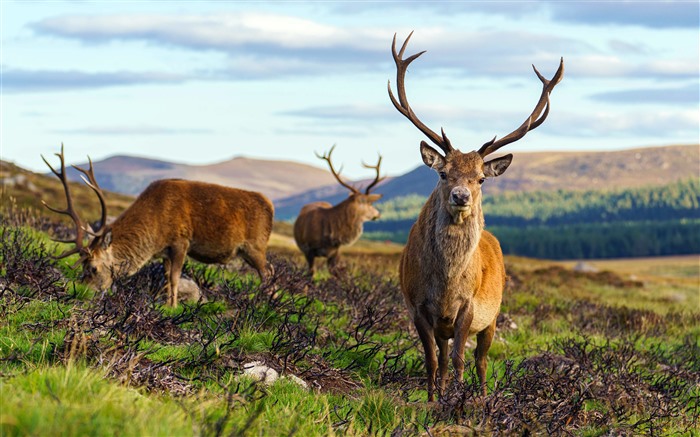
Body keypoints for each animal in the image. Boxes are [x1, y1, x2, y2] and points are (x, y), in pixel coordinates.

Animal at [42, 145, 274, 304]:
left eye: (93, 268)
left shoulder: (181, 241)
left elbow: (175, 278)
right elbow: (166, 278)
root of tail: (270, 206)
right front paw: (164, 303)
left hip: (255, 246)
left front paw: (173, 307)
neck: (154, 235)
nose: (82, 291)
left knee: (267, 273)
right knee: (270, 270)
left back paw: (264, 306)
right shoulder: (165, 251)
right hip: (247, 252)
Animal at [388, 32, 564, 400]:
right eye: (443, 173)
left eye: (480, 178)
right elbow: (431, 360)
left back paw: (482, 396)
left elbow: (459, 359)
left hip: (494, 315)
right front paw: (432, 400)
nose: (461, 196)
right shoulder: (416, 305)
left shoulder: (469, 307)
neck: (445, 283)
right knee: (442, 356)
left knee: (481, 361)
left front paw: (458, 398)